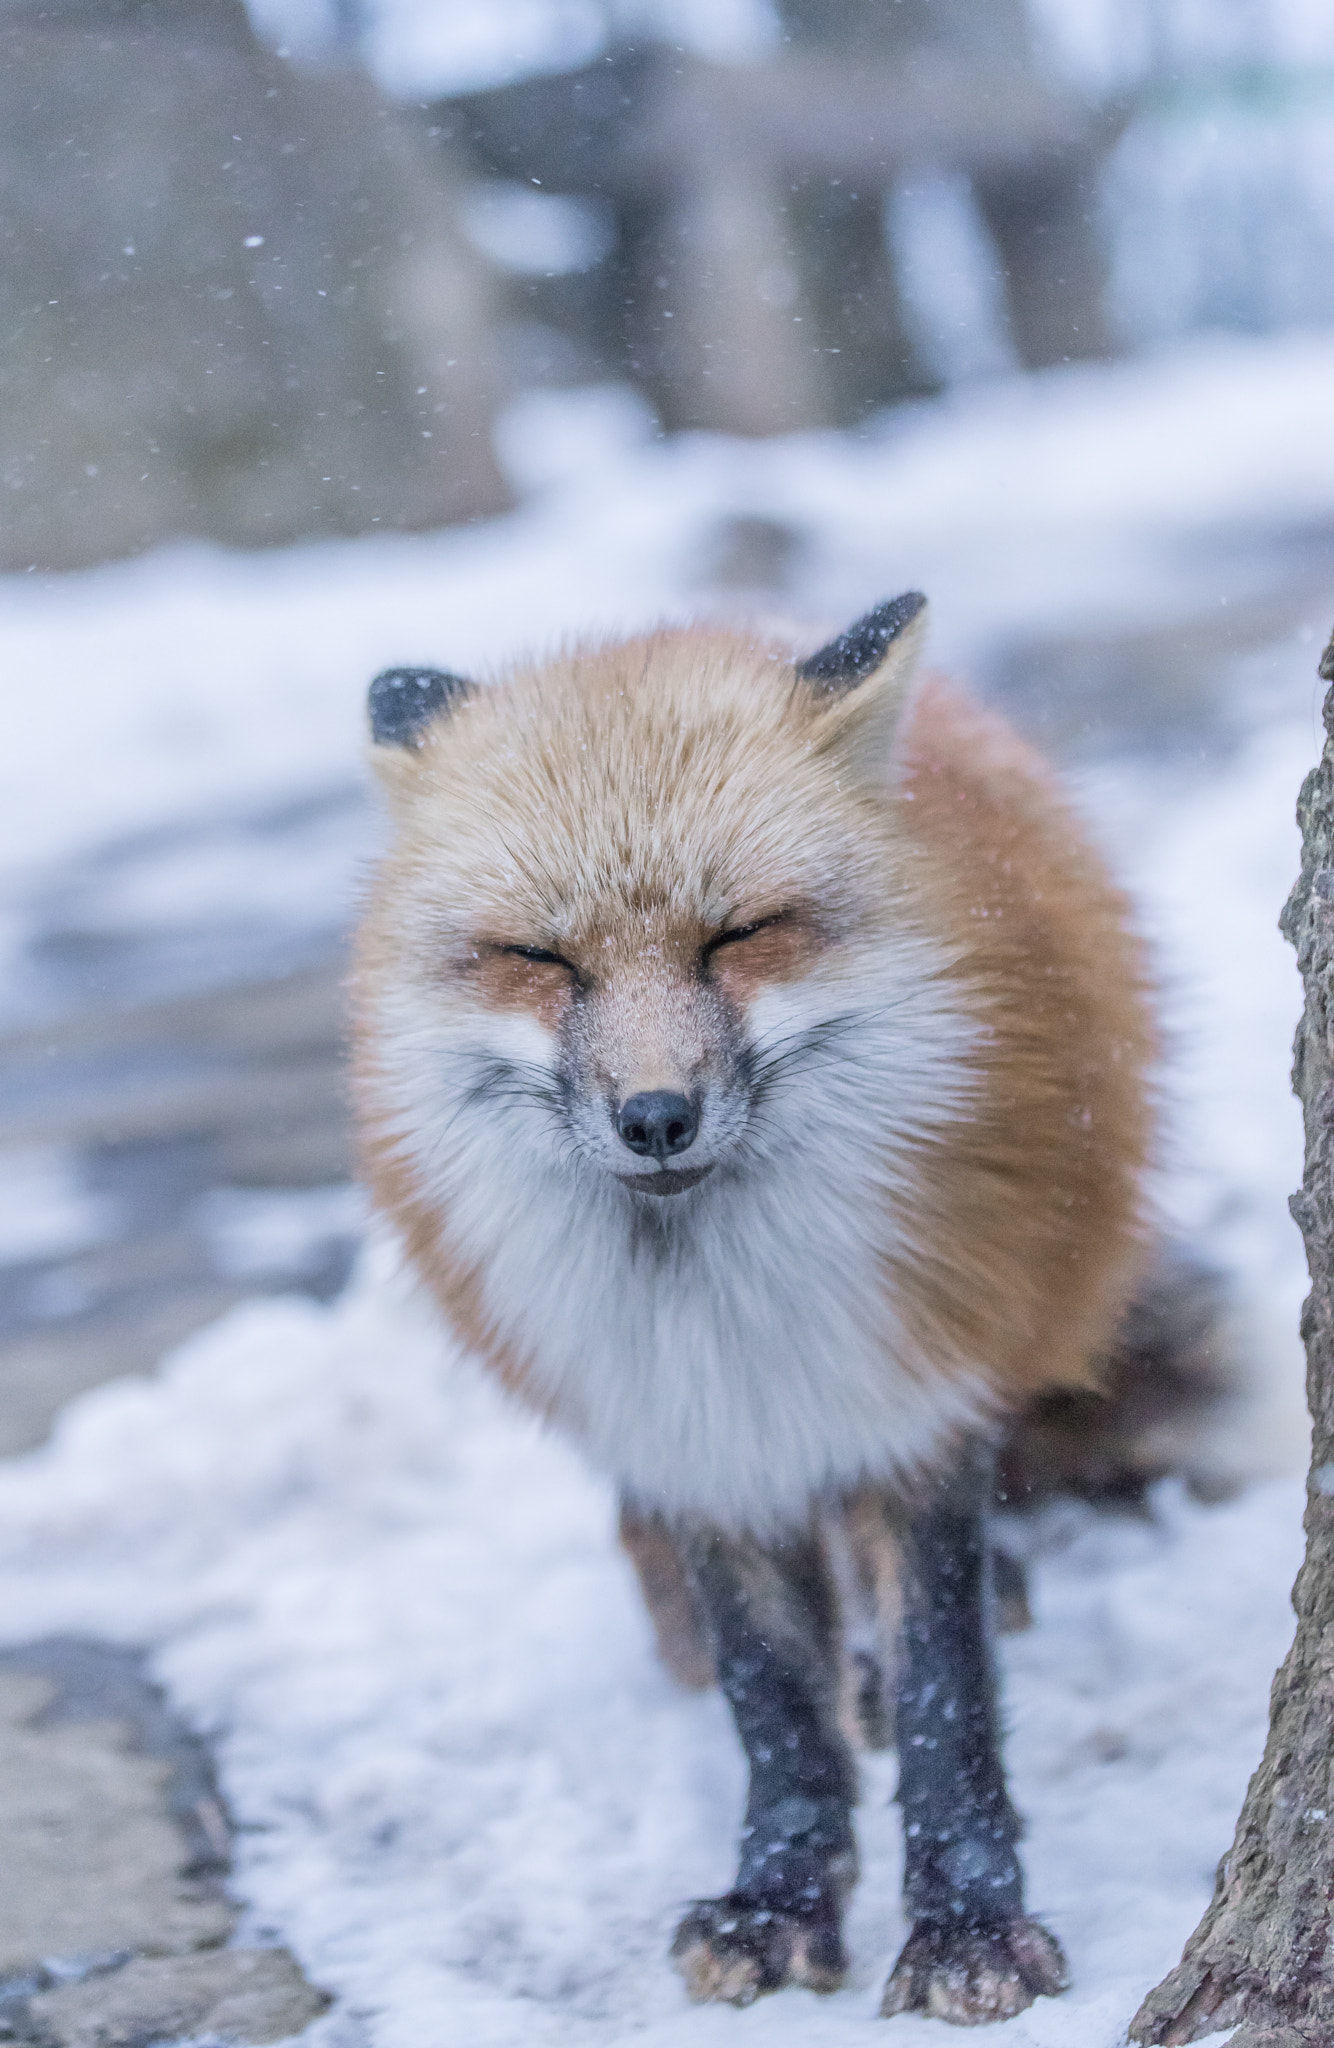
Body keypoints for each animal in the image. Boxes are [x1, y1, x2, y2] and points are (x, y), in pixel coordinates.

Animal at [352, 594, 1222, 2025]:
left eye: (739, 933)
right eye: (539, 957)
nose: (655, 1116)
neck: (721, 1306)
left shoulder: (919, 1392)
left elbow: (944, 1692)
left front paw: (969, 1922)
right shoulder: (697, 1438)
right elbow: (770, 1704)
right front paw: (778, 1899)